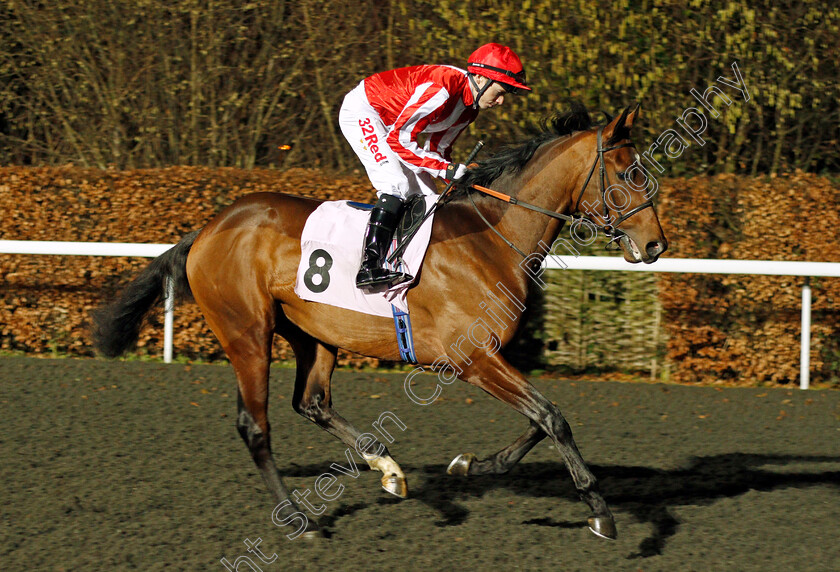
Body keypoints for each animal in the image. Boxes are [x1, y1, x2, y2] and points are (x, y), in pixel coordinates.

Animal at [93, 101, 668, 540]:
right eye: (628, 172)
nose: (656, 245)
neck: (491, 237)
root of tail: (210, 227)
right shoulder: (471, 358)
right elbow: (552, 417)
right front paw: (601, 514)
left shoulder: (487, 358)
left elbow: (541, 418)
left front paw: (473, 465)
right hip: (247, 334)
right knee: (255, 425)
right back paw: (299, 519)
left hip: (312, 333)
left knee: (313, 402)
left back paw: (386, 467)